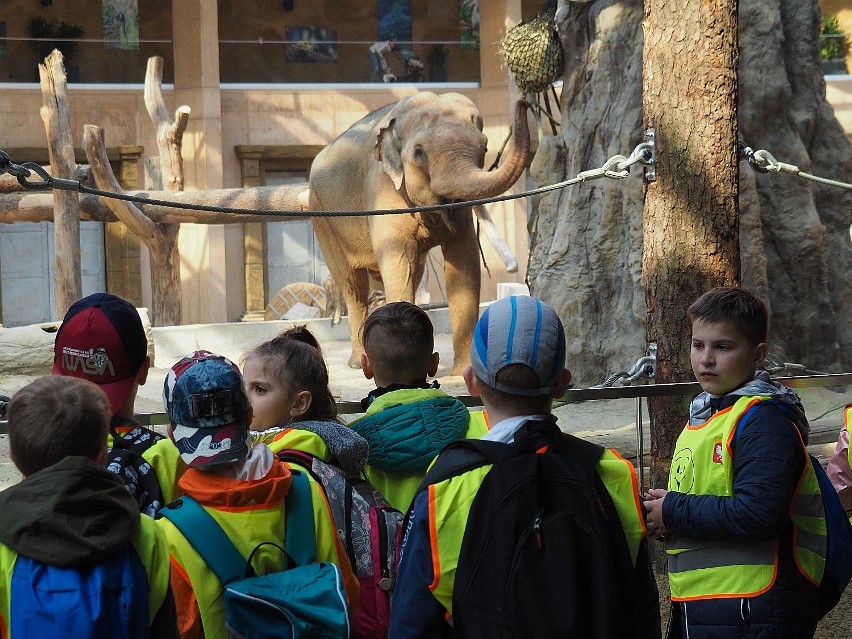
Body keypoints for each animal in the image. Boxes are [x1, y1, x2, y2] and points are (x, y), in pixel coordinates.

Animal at [310, 92, 528, 378]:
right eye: (419, 152)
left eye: (484, 147)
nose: (525, 103)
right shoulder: (382, 188)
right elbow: (398, 262)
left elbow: (463, 261)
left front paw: (461, 372)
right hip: (321, 214)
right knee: (352, 284)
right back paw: (357, 362)